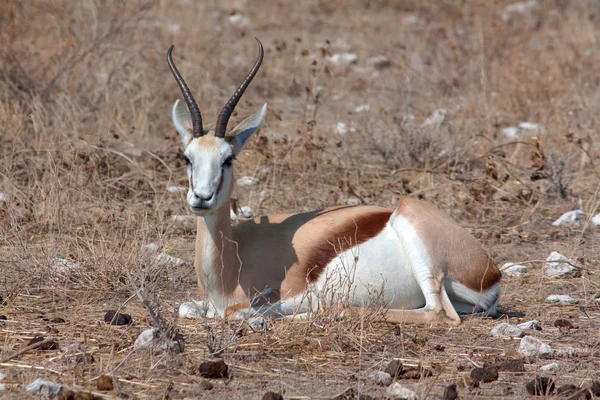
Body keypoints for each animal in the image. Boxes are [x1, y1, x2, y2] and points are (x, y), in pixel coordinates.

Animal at [166, 39, 500, 324]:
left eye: (228, 159)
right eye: (187, 157)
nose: (201, 198)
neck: (232, 261)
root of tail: (491, 272)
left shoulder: (296, 294)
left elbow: (238, 311)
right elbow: (187, 308)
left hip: (417, 241)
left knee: (437, 313)